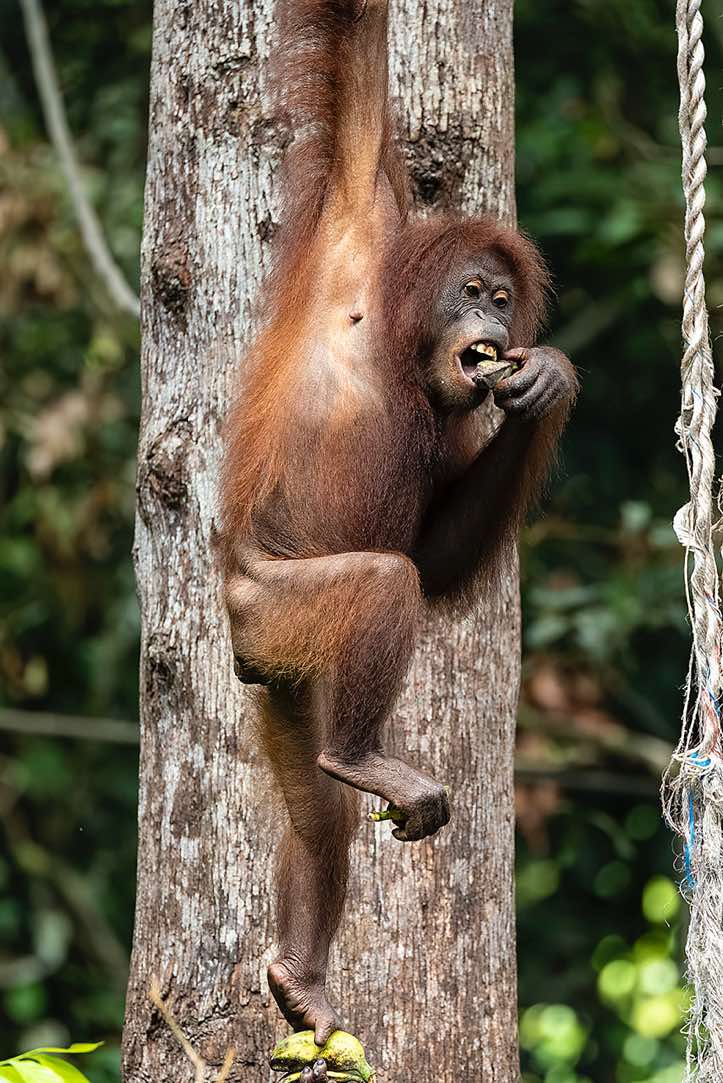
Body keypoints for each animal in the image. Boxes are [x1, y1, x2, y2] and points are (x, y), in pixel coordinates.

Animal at [218, 0, 577, 1052]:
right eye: (472, 290)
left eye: (502, 299)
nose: (492, 320)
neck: (393, 338)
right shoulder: (355, 212)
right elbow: (357, 77)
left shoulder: (455, 417)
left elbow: (438, 548)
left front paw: (545, 384)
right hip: (269, 603)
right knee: (379, 584)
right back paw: (360, 758)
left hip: (283, 670)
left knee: (316, 814)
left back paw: (301, 978)